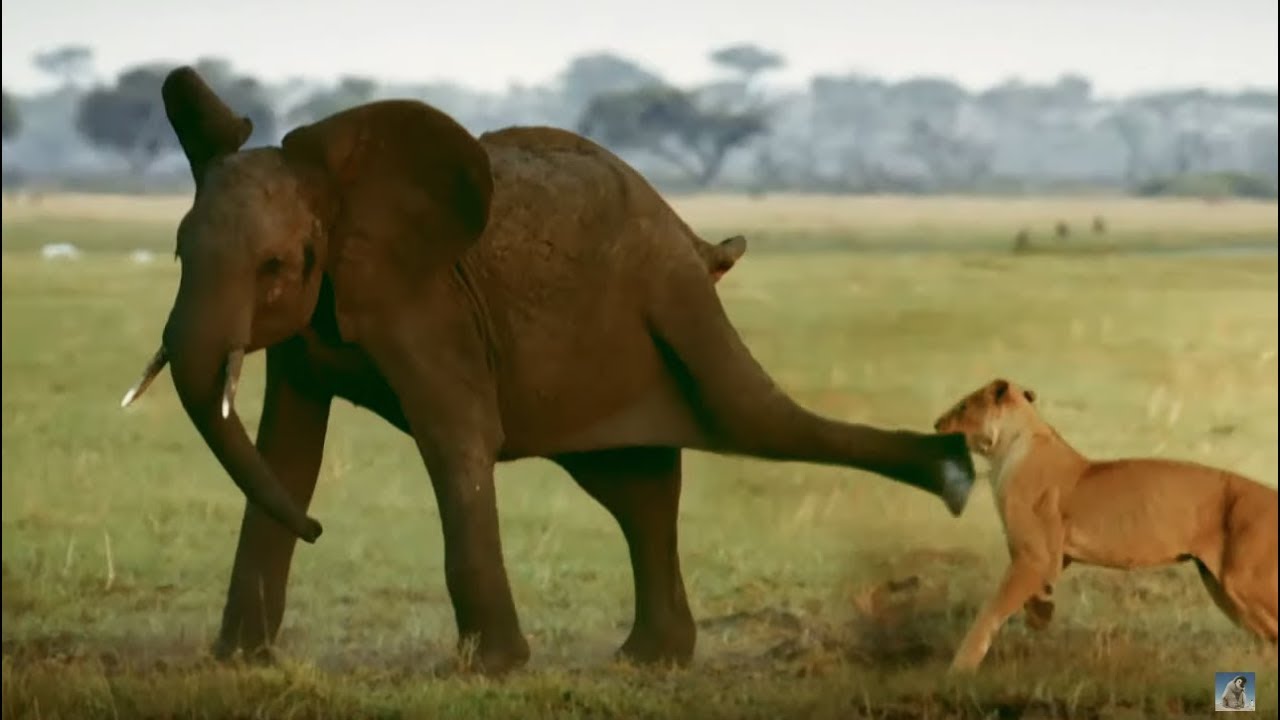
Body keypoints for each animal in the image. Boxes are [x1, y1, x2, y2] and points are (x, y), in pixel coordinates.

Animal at [119, 67, 976, 674]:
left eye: (275, 266)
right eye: (178, 253)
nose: (324, 529)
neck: (341, 193)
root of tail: (692, 238)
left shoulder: (425, 299)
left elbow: (457, 438)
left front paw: (486, 671)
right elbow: (287, 452)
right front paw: (236, 663)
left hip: (674, 299)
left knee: (749, 423)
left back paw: (957, 474)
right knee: (638, 485)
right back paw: (648, 662)